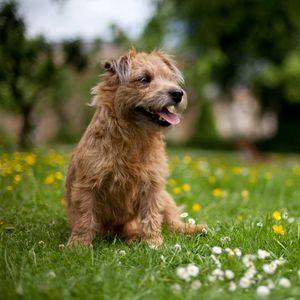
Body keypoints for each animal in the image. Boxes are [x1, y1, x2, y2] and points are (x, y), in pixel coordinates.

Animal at [64, 48, 207, 246]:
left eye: (171, 78)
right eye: (144, 79)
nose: (178, 93)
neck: (134, 137)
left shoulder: (153, 185)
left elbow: (152, 215)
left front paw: (154, 242)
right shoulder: (87, 185)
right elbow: (85, 216)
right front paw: (79, 244)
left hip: (165, 197)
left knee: (172, 222)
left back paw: (195, 229)